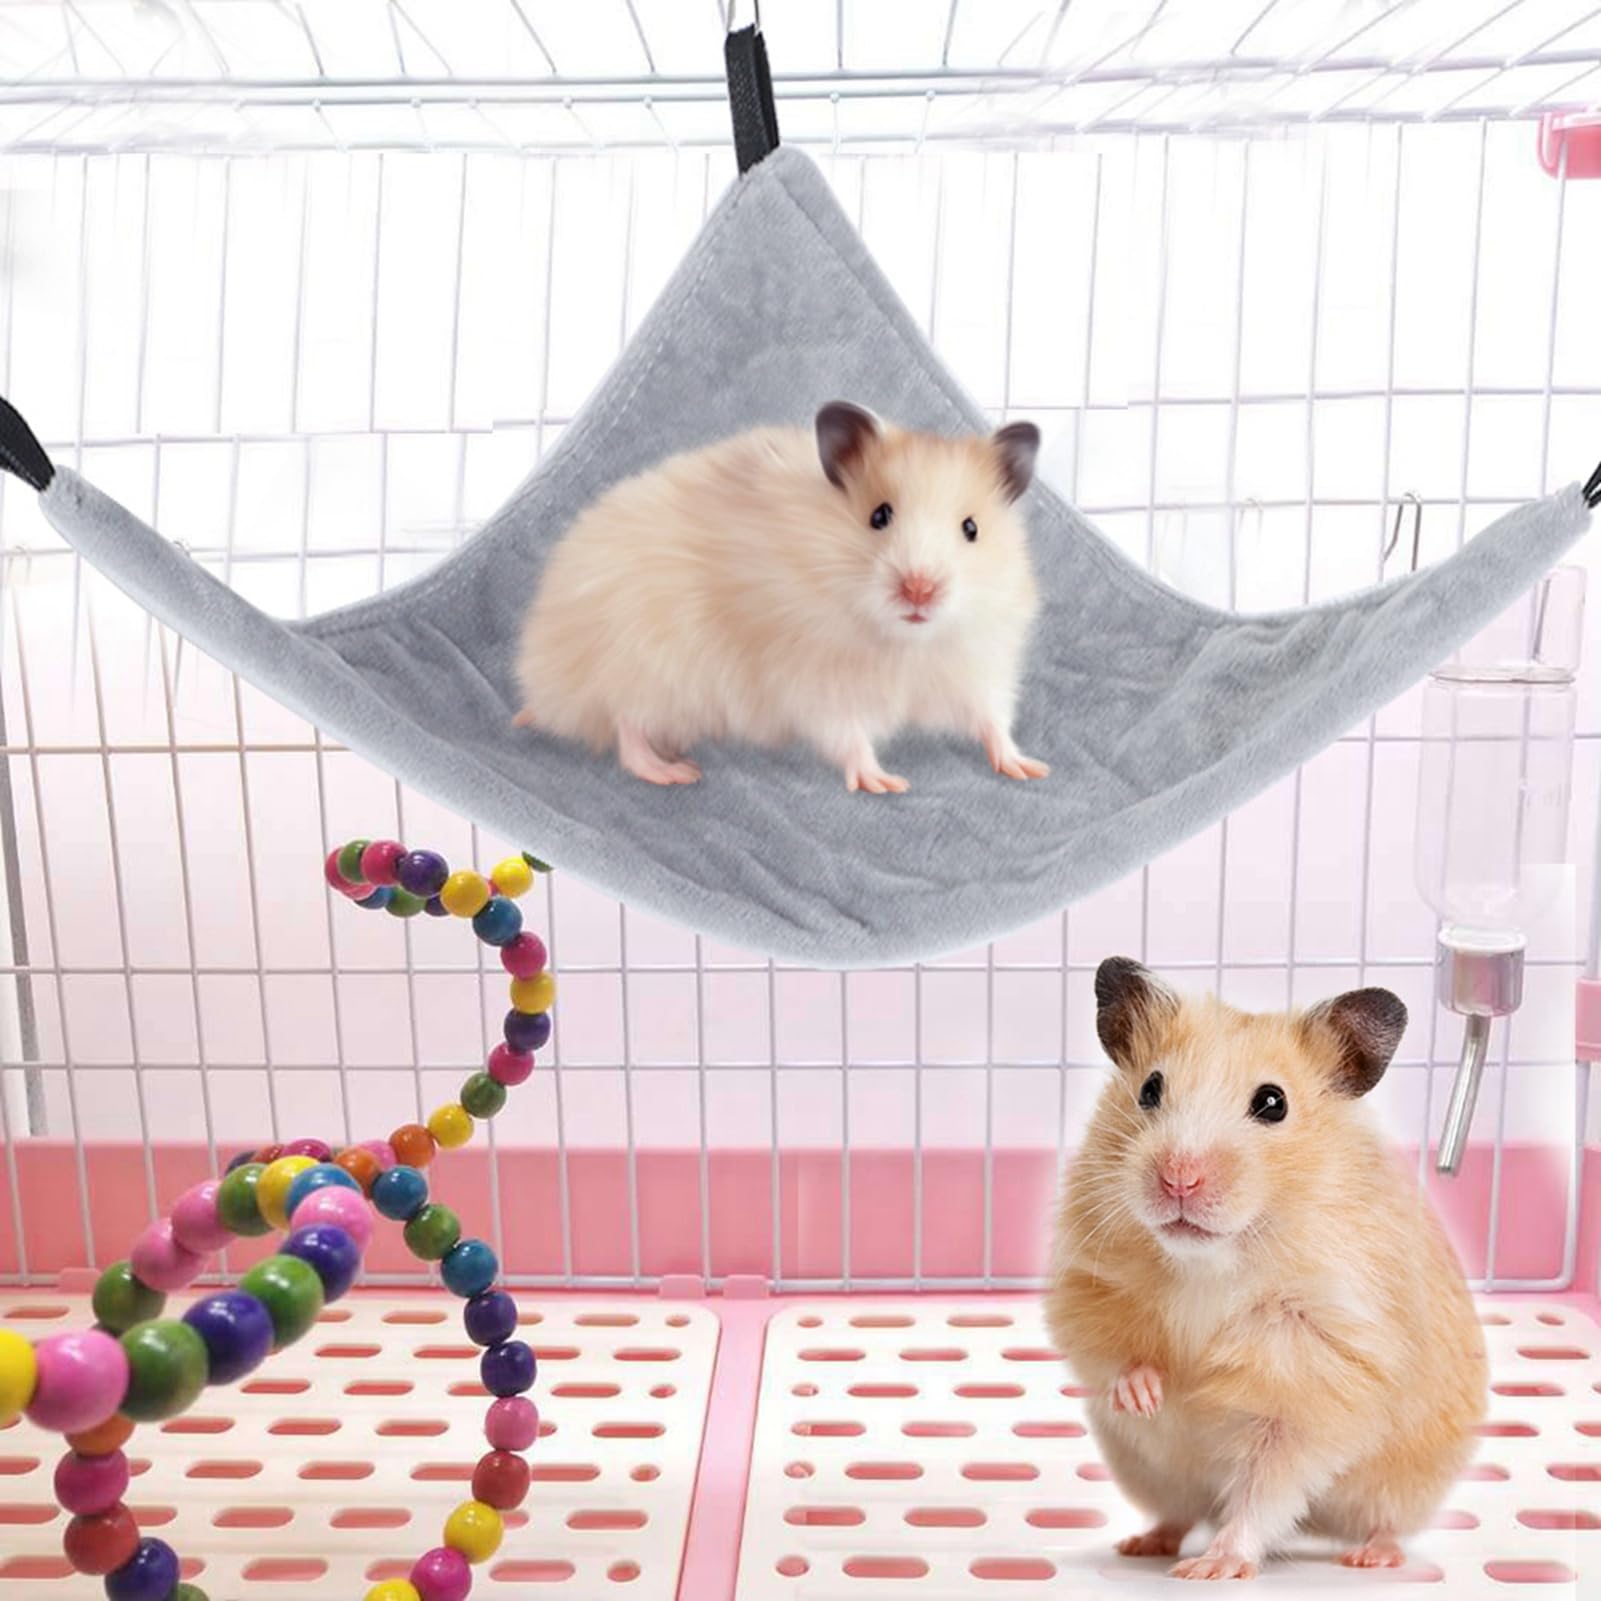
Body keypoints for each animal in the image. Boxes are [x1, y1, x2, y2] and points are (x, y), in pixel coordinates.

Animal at [513, 402, 1048, 792]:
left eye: (971, 529)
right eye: (879, 516)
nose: (920, 589)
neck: (902, 642)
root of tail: (544, 680)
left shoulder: (975, 667)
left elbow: (991, 720)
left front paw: (1028, 767)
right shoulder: (815, 681)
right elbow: (848, 735)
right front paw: (886, 783)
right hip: (643, 663)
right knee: (626, 726)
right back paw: (675, 772)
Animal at [1047, 958, 1486, 1582]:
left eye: (1273, 1102)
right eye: (1150, 1088)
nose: (1179, 1179)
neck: (1210, 1261)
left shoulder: (1312, 1379)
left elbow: (1264, 1488)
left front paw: (1213, 1568)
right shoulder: (1089, 1283)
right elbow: (1112, 1352)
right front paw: (1148, 1396)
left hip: (1406, 1482)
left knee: (1381, 1521)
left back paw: (1369, 1556)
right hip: (1150, 1472)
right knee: (1178, 1513)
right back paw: (1142, 1543)